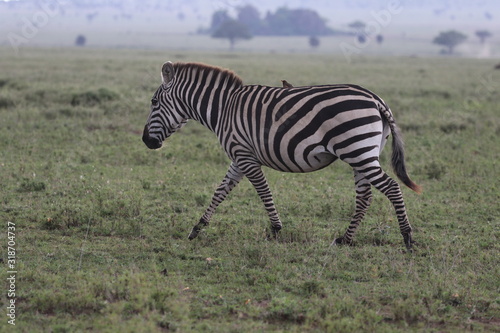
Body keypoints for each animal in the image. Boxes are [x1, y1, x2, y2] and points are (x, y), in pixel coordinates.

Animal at [143, 61, 420, 249]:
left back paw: (407, 238)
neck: (223, 108)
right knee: (364, 196)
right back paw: (345, 239)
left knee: (392, 188)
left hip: (357, 151)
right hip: (361, 154)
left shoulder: (245, 156)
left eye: (154, 102)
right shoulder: (238, 156)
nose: (146, 141)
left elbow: (263, 190)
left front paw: (276, 229)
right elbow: (220, 191)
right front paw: (197, 228)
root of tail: (376, 99)